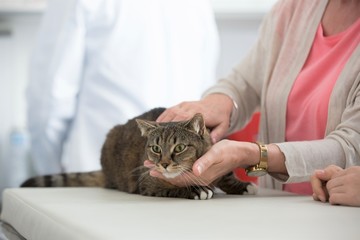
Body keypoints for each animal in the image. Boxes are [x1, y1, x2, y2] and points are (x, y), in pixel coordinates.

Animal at [21, 108, 256, 200]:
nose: (164, 164)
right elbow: (171, 187)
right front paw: (196, 190)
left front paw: (243, 185)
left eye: (179, 148)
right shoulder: (147, 182)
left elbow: (226, 175)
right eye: (156, 149)